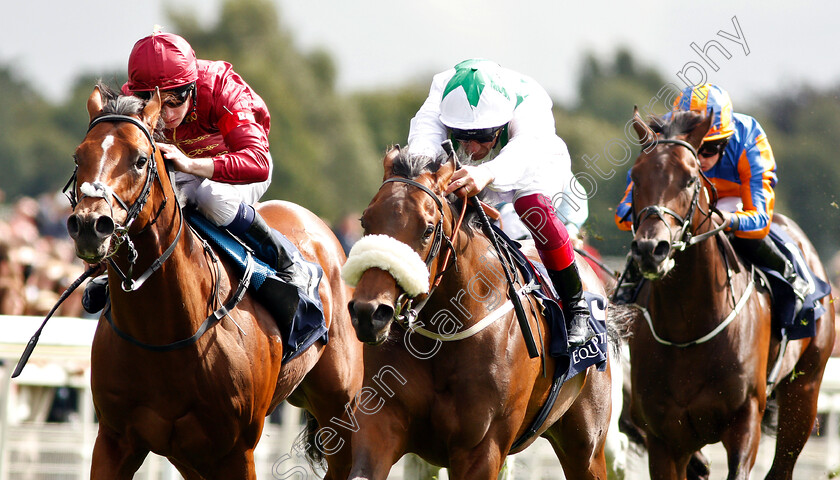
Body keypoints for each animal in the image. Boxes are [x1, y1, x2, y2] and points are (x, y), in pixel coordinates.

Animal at [67, 84, 362, 478]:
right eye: (78, 156)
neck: (164, 336)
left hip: (339, 406)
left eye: (140, 160)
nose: (89, 225)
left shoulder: (237, 450)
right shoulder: (116, 440)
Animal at [344, 148, 612, 480]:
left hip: (586, 446)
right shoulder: (380, 423)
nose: (369, 313)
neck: (445, 331)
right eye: (365, 221)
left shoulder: (483, 447)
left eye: (428, 229)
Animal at [624, 109, 832, 480]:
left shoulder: (745, 421)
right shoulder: (664, 438)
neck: (687, 331)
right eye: (635, 177)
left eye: (689, 179)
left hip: (804, 394)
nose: (651, 249)